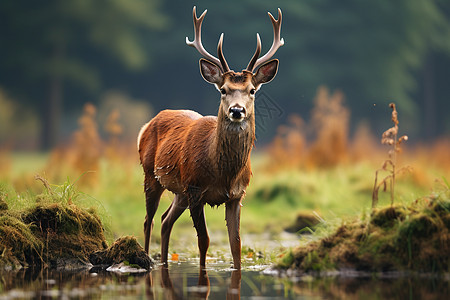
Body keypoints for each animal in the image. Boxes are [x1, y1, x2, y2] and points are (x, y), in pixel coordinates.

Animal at [138, 6, 284, 270]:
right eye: (223, 90)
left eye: (252, 90)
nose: (237, 110)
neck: (223, 173)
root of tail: (148, 124)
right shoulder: (196, 190)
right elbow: (204, 240)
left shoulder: (237, 195)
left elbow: (236, 244)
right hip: (151, 175)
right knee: (149, 220)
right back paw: (147, 260)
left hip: (180, 191)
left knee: (165, 220)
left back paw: (164, 262)